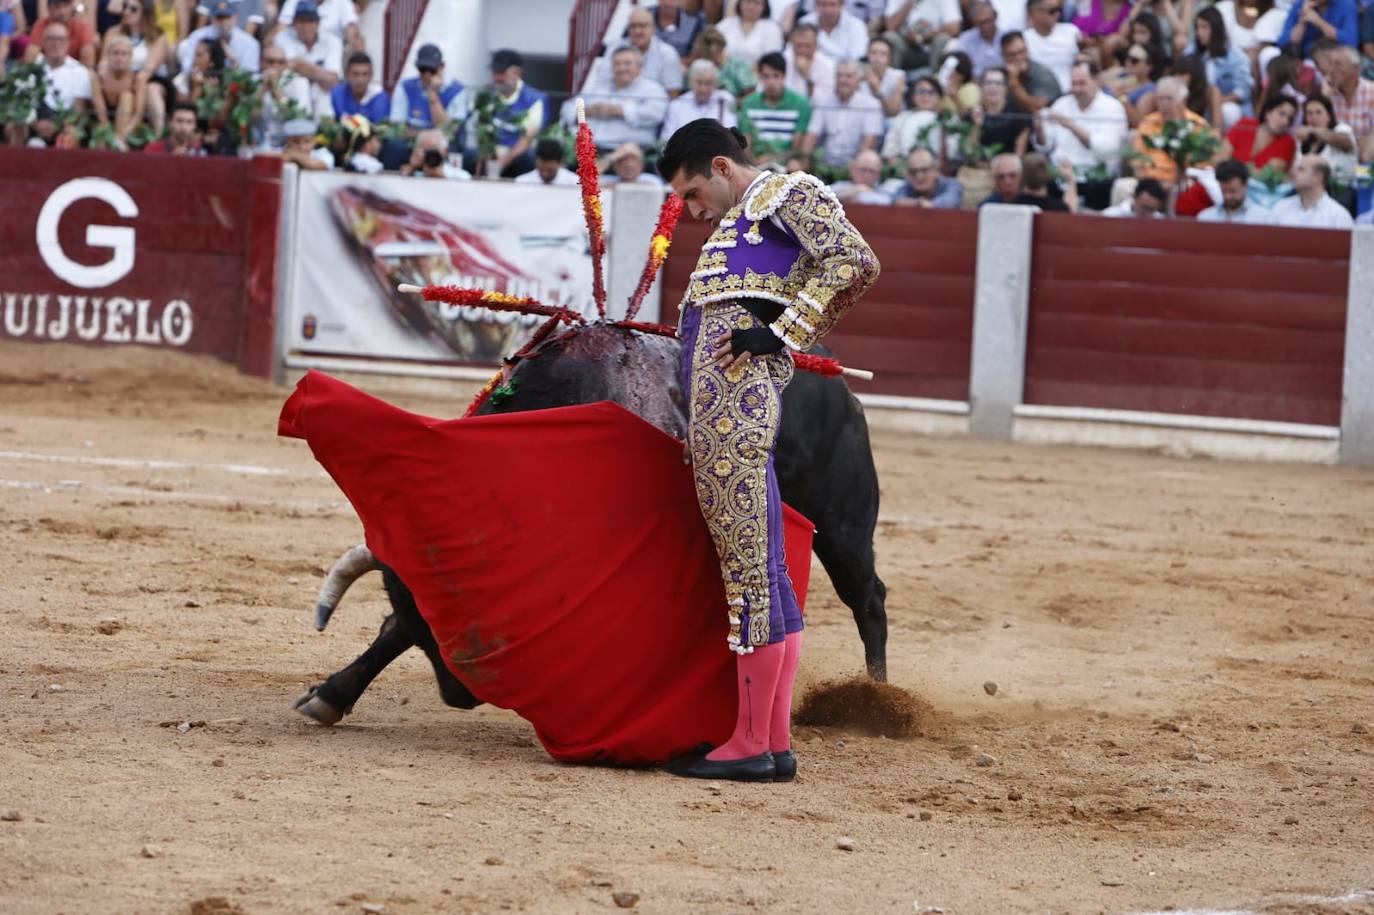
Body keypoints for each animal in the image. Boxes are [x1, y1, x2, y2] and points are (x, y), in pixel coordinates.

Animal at [294, 324, 884, 725]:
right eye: (422, 623)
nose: (460, 695)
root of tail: (836, 381)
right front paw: (329, 696)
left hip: (842, 524)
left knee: (867, 596)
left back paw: (875, 701)